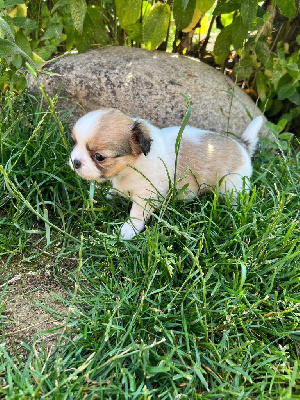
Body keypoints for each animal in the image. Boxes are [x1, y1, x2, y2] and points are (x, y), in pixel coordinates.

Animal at [69, 109, 262, 239]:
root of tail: (242, 145)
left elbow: (137, 214)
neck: (134, 165)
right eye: (74, 142)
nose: (75, 161)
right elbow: (114, 192)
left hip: (232, 186)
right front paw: (106, 197)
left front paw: (128, 229)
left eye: (99, 157)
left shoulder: (146, 195)